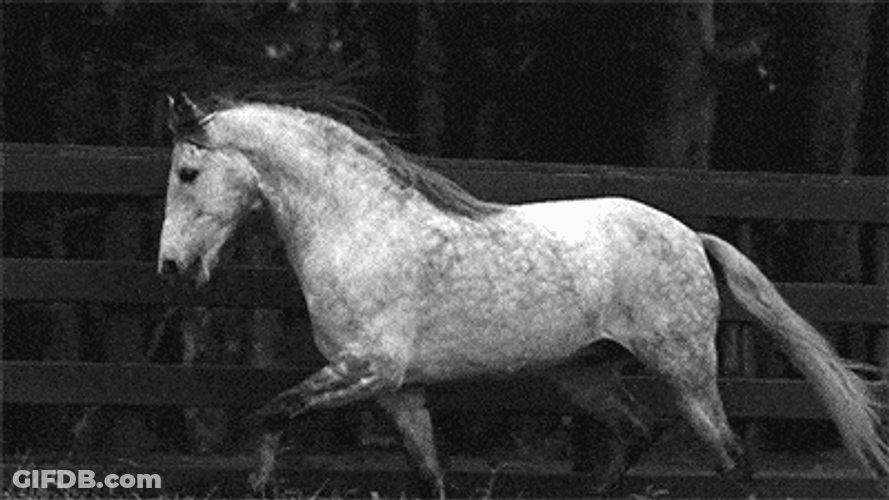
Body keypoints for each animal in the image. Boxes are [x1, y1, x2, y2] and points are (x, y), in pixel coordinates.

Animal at [158, 93, 889, 498]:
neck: (361, 228)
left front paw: (259, 484)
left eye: (188, 172)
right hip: (584, 374)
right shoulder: (398, 391)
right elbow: (430, 477)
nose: (171, 267)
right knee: (637, 433)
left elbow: (269, 415)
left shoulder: (367, 371)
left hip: (683, 367)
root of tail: (689, 235)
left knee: (732, 460)